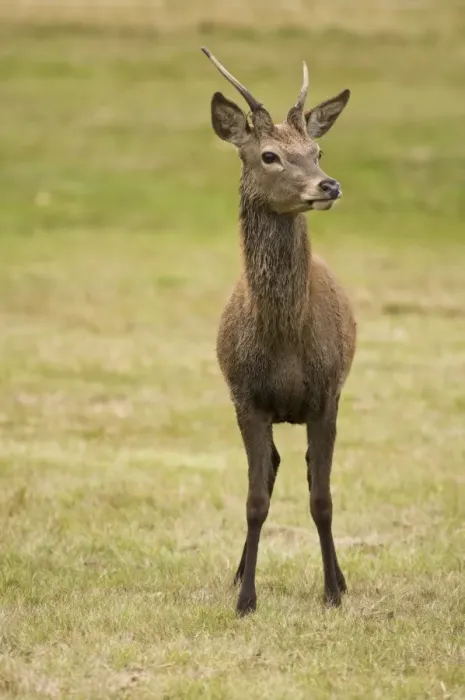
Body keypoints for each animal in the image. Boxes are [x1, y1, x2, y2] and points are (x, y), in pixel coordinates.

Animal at [201, 47, 357, 616]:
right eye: (269, 155)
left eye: (317, 148)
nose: (328, 184)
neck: (286, 341)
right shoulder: (246, 397)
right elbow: (255, 499)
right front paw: (245, 598)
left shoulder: (327, 392)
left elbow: (322, 497)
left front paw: (333, 591)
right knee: (270, 467)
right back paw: (236, 574)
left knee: (308, 469)